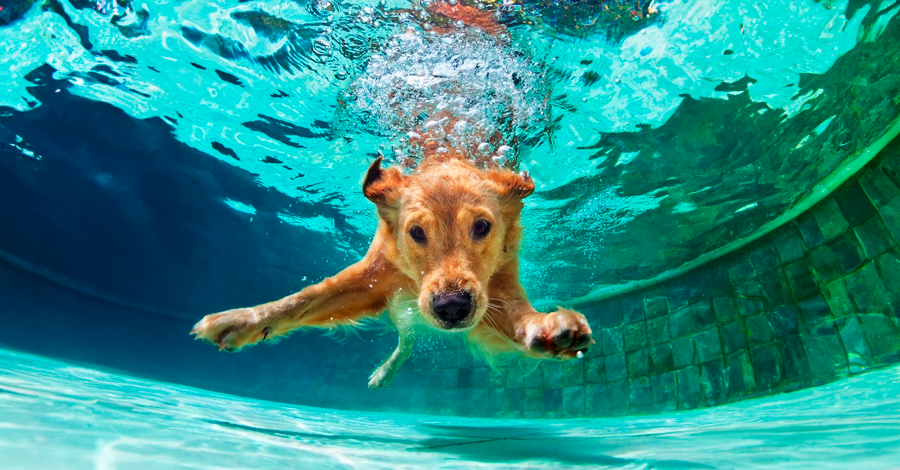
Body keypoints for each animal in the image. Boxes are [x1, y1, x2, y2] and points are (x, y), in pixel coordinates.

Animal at [192, 151, 592, 390]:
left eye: (482, 227)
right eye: (416, 232)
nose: (452, 307)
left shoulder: (498, 287)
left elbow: (520, 317)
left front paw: (549, 328)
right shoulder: (372, 277)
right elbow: (303, 300)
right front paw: (241, 320)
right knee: (407, 338)